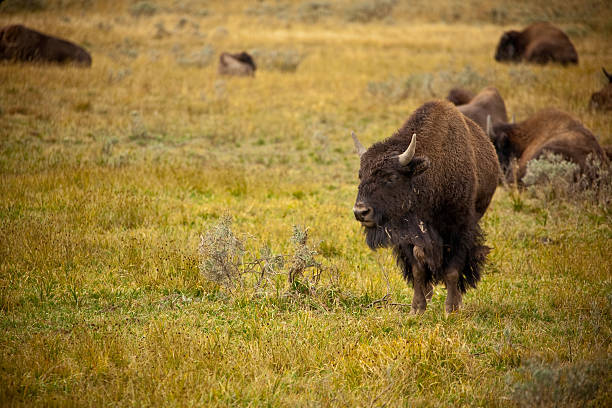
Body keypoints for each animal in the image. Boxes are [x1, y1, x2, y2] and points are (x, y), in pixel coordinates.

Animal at [352, 100, 500, 314]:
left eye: (391, 176)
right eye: (360, 175)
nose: (360, 212)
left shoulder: (460, 230)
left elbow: (452, 270)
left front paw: (451, 309)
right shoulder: (408, 236)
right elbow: (418, 270)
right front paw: (417, 309)